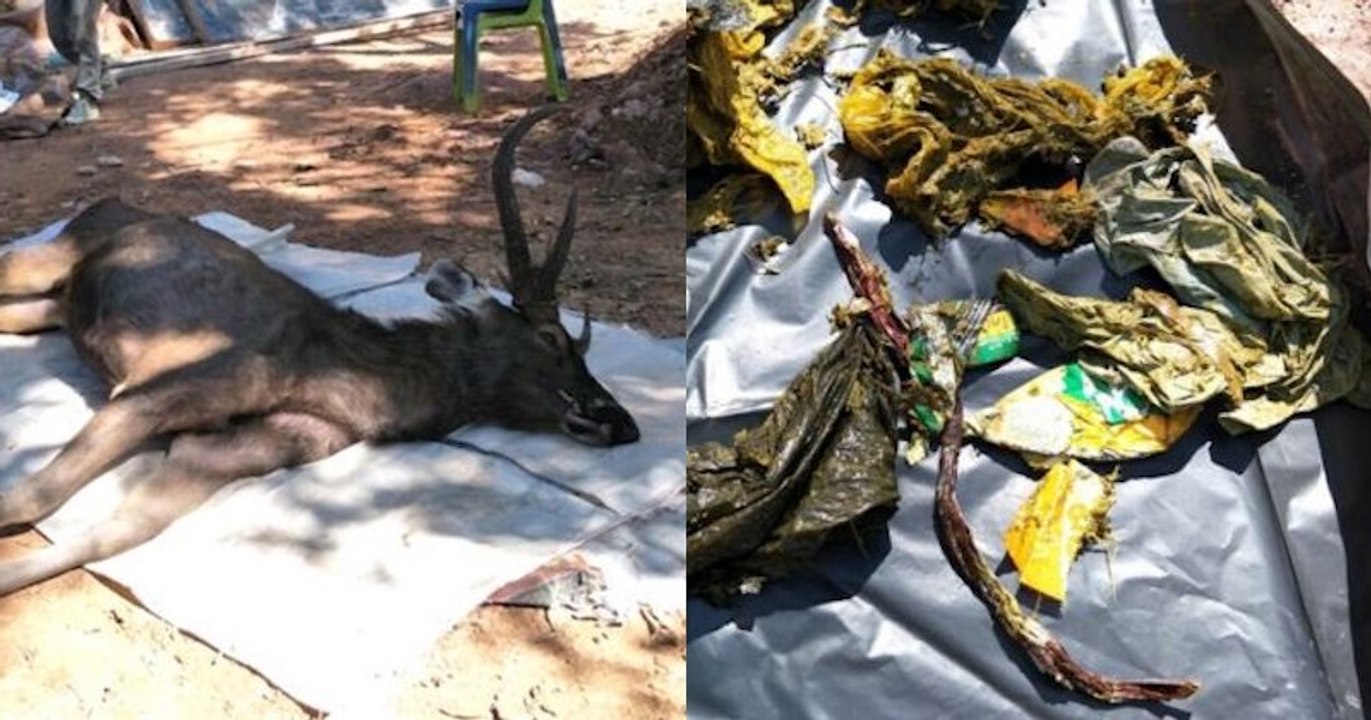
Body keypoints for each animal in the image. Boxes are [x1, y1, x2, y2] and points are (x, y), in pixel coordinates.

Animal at [0, 106, 639, 597]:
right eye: (552, 338)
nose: (621, 422)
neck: (334, 379)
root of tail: (105, 205)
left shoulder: (219, 453)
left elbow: (114, 532)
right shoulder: (151, 391)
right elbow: (31, 495)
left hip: (58, 304)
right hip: (53, 254)